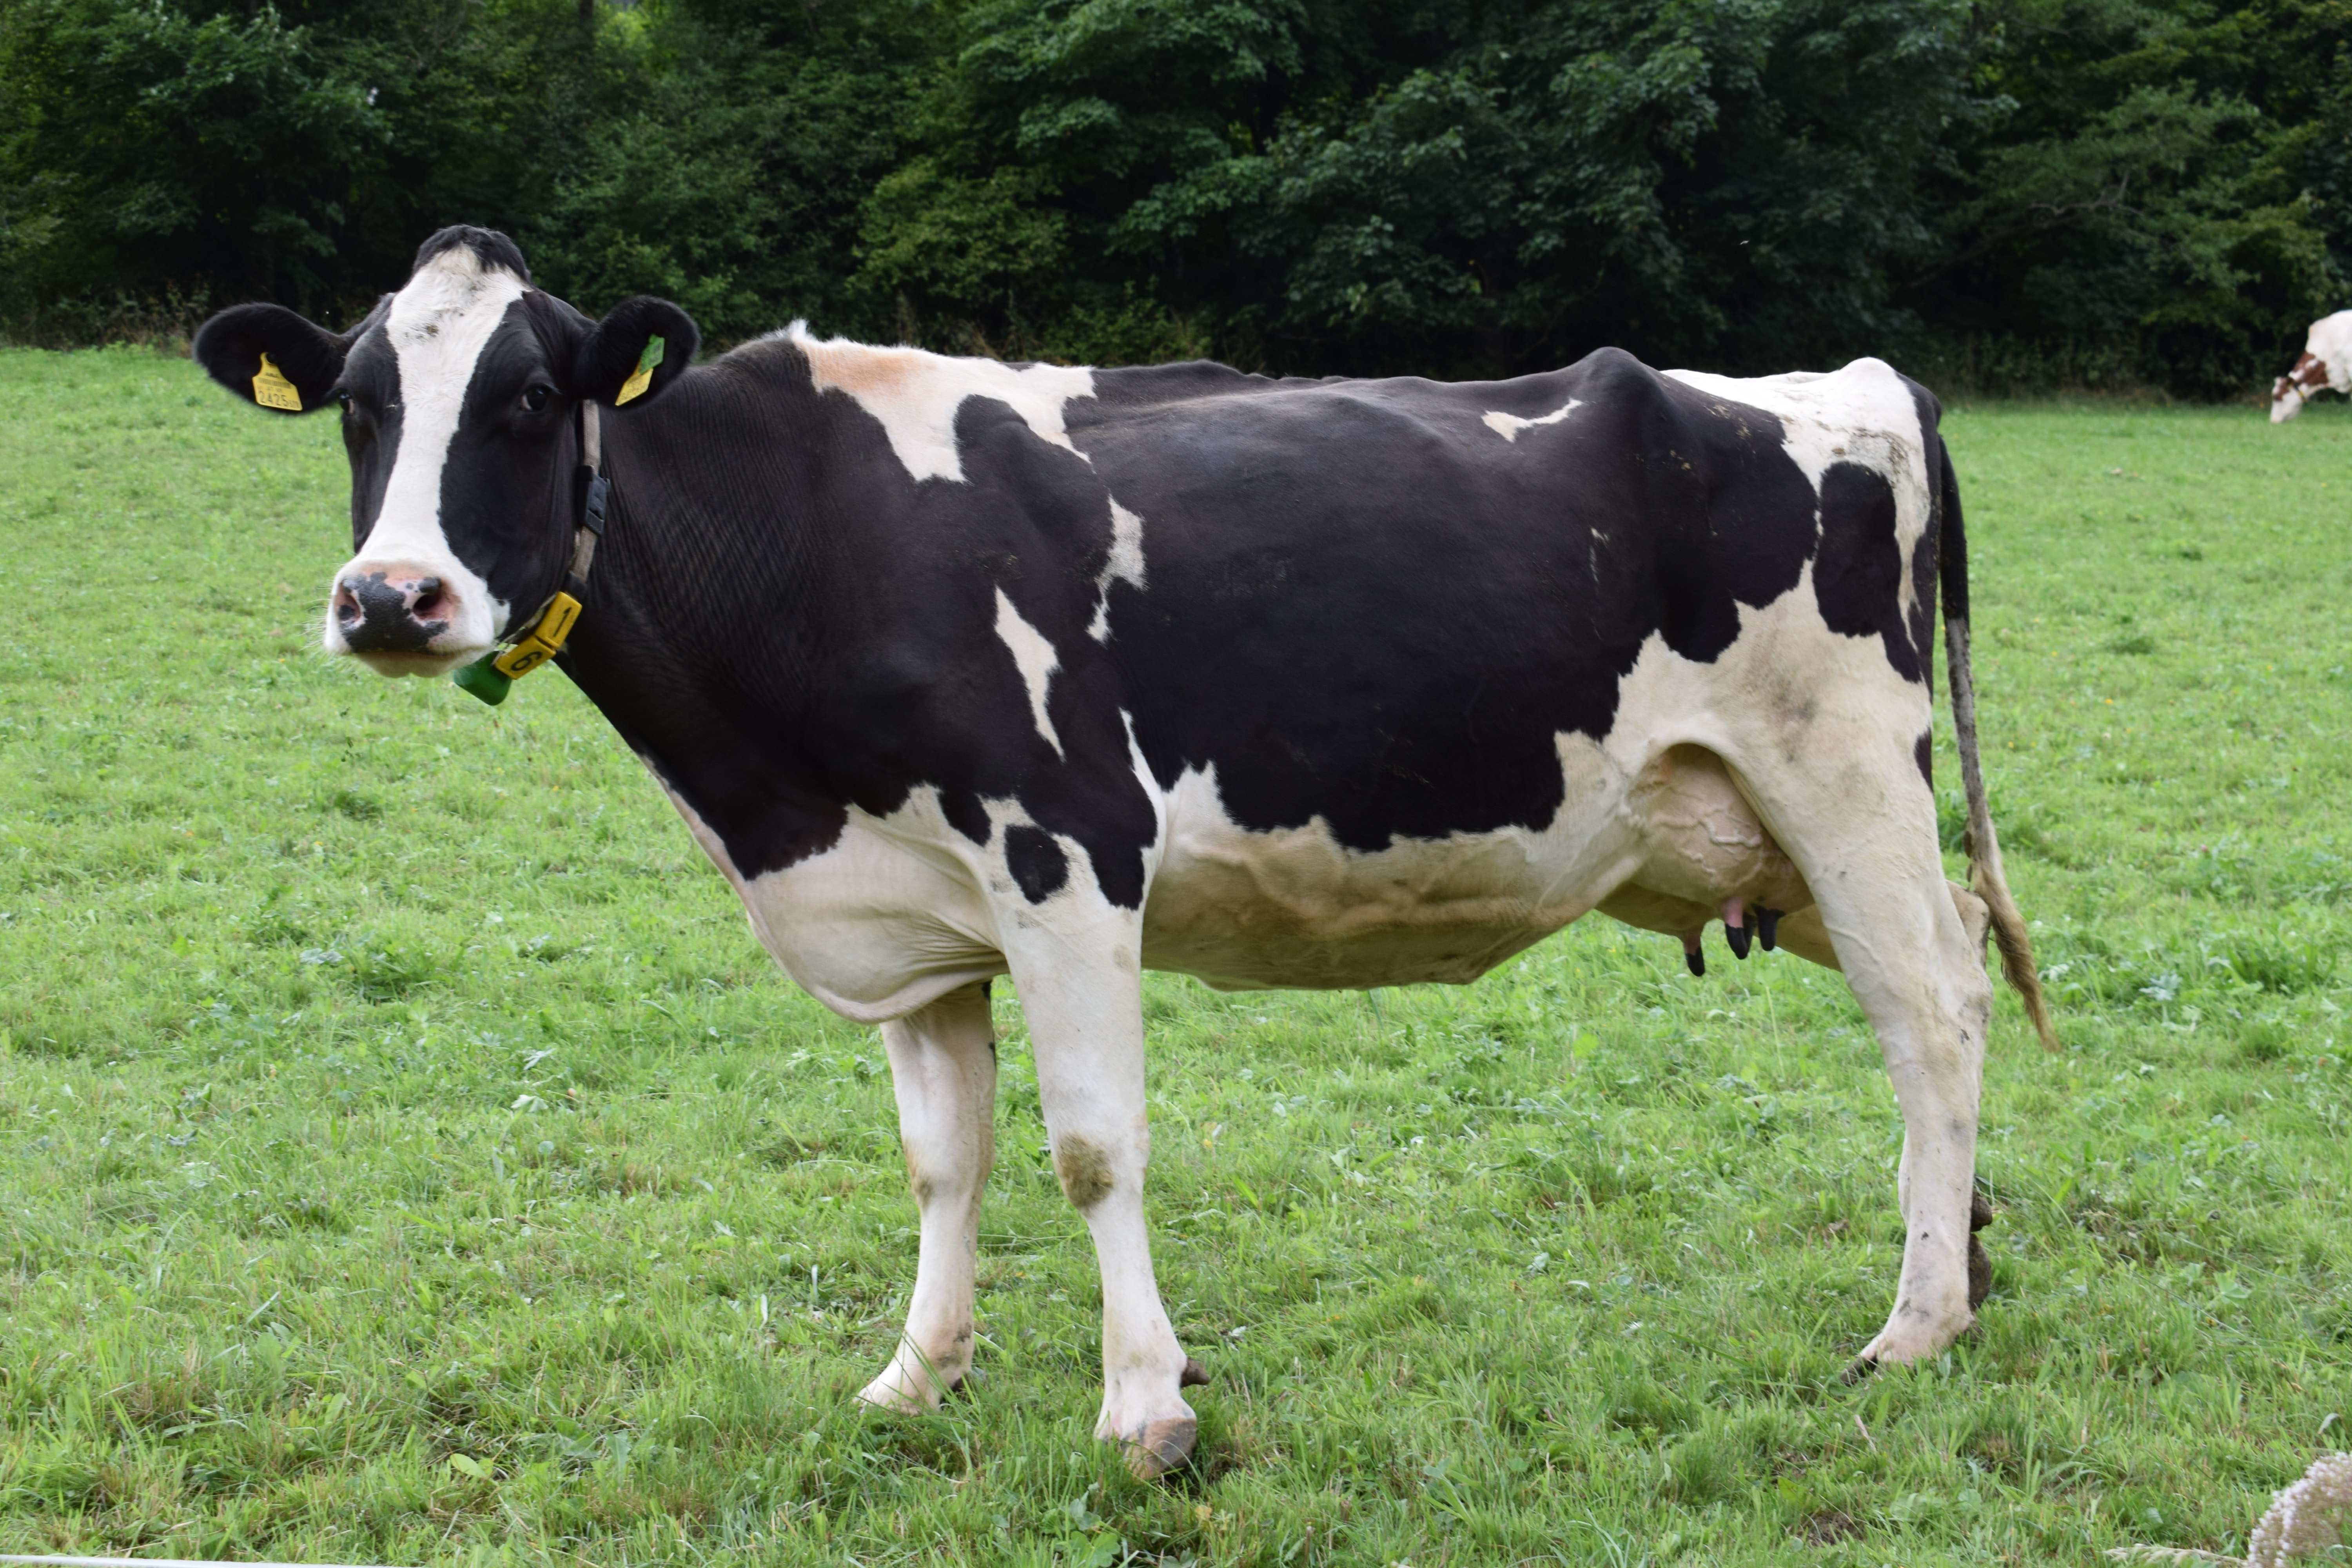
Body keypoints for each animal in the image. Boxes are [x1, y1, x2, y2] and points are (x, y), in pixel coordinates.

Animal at [193, 227, 2051, 1476]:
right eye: (357, 404)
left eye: (523, 397)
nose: (391, 598)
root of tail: (1853, 382)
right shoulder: (913, 919)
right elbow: (942, 1161)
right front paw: (915, 1372)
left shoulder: (1066, 856)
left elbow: (1091, 1146)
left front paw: (1144, 1406)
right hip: (1753, 834)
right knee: (1953, 975)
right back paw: (1962, 1259)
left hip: (1841, 780)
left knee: (1932, 1012)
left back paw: (1911, 1323)